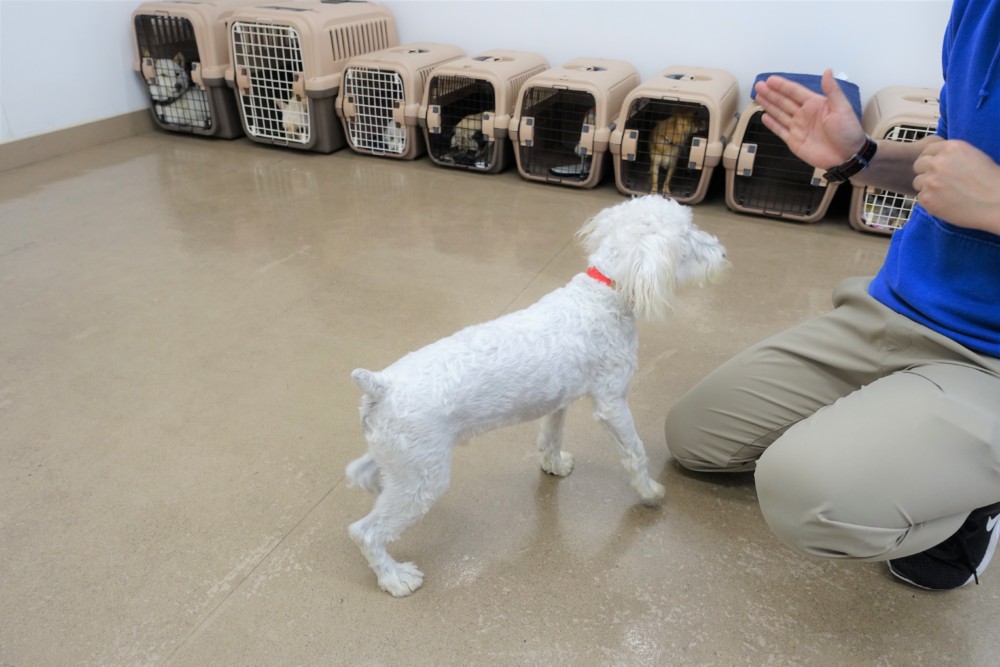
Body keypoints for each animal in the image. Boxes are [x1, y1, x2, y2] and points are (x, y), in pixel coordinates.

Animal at [345, 196, 729, 596]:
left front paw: (553, 465)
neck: (603, 293)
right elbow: (634, 452)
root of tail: (381, 386)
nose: (723, 253)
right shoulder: (612, 402)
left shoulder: (558, 401)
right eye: (688, 237)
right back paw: (394, 577)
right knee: (365, 532)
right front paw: (649, 490)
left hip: (403, 459)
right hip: (423, 477)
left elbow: (551, 437)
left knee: (363, 472)